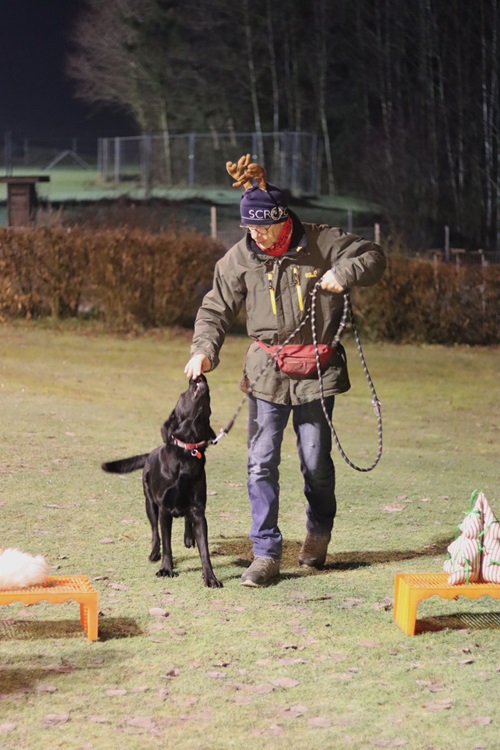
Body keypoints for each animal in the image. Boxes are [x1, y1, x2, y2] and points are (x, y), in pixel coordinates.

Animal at [102, 378, 222, 592]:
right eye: (183, 394)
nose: (198, 377)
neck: (187, 453)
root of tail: (150, 452)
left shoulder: (199, 511)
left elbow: (205, 550)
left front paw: (210, 577)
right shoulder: (165, 509)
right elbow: (167, 543)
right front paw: (166, 569)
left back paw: (188, 538)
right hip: (149, 503)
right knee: (154, 531)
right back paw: (154, 553)